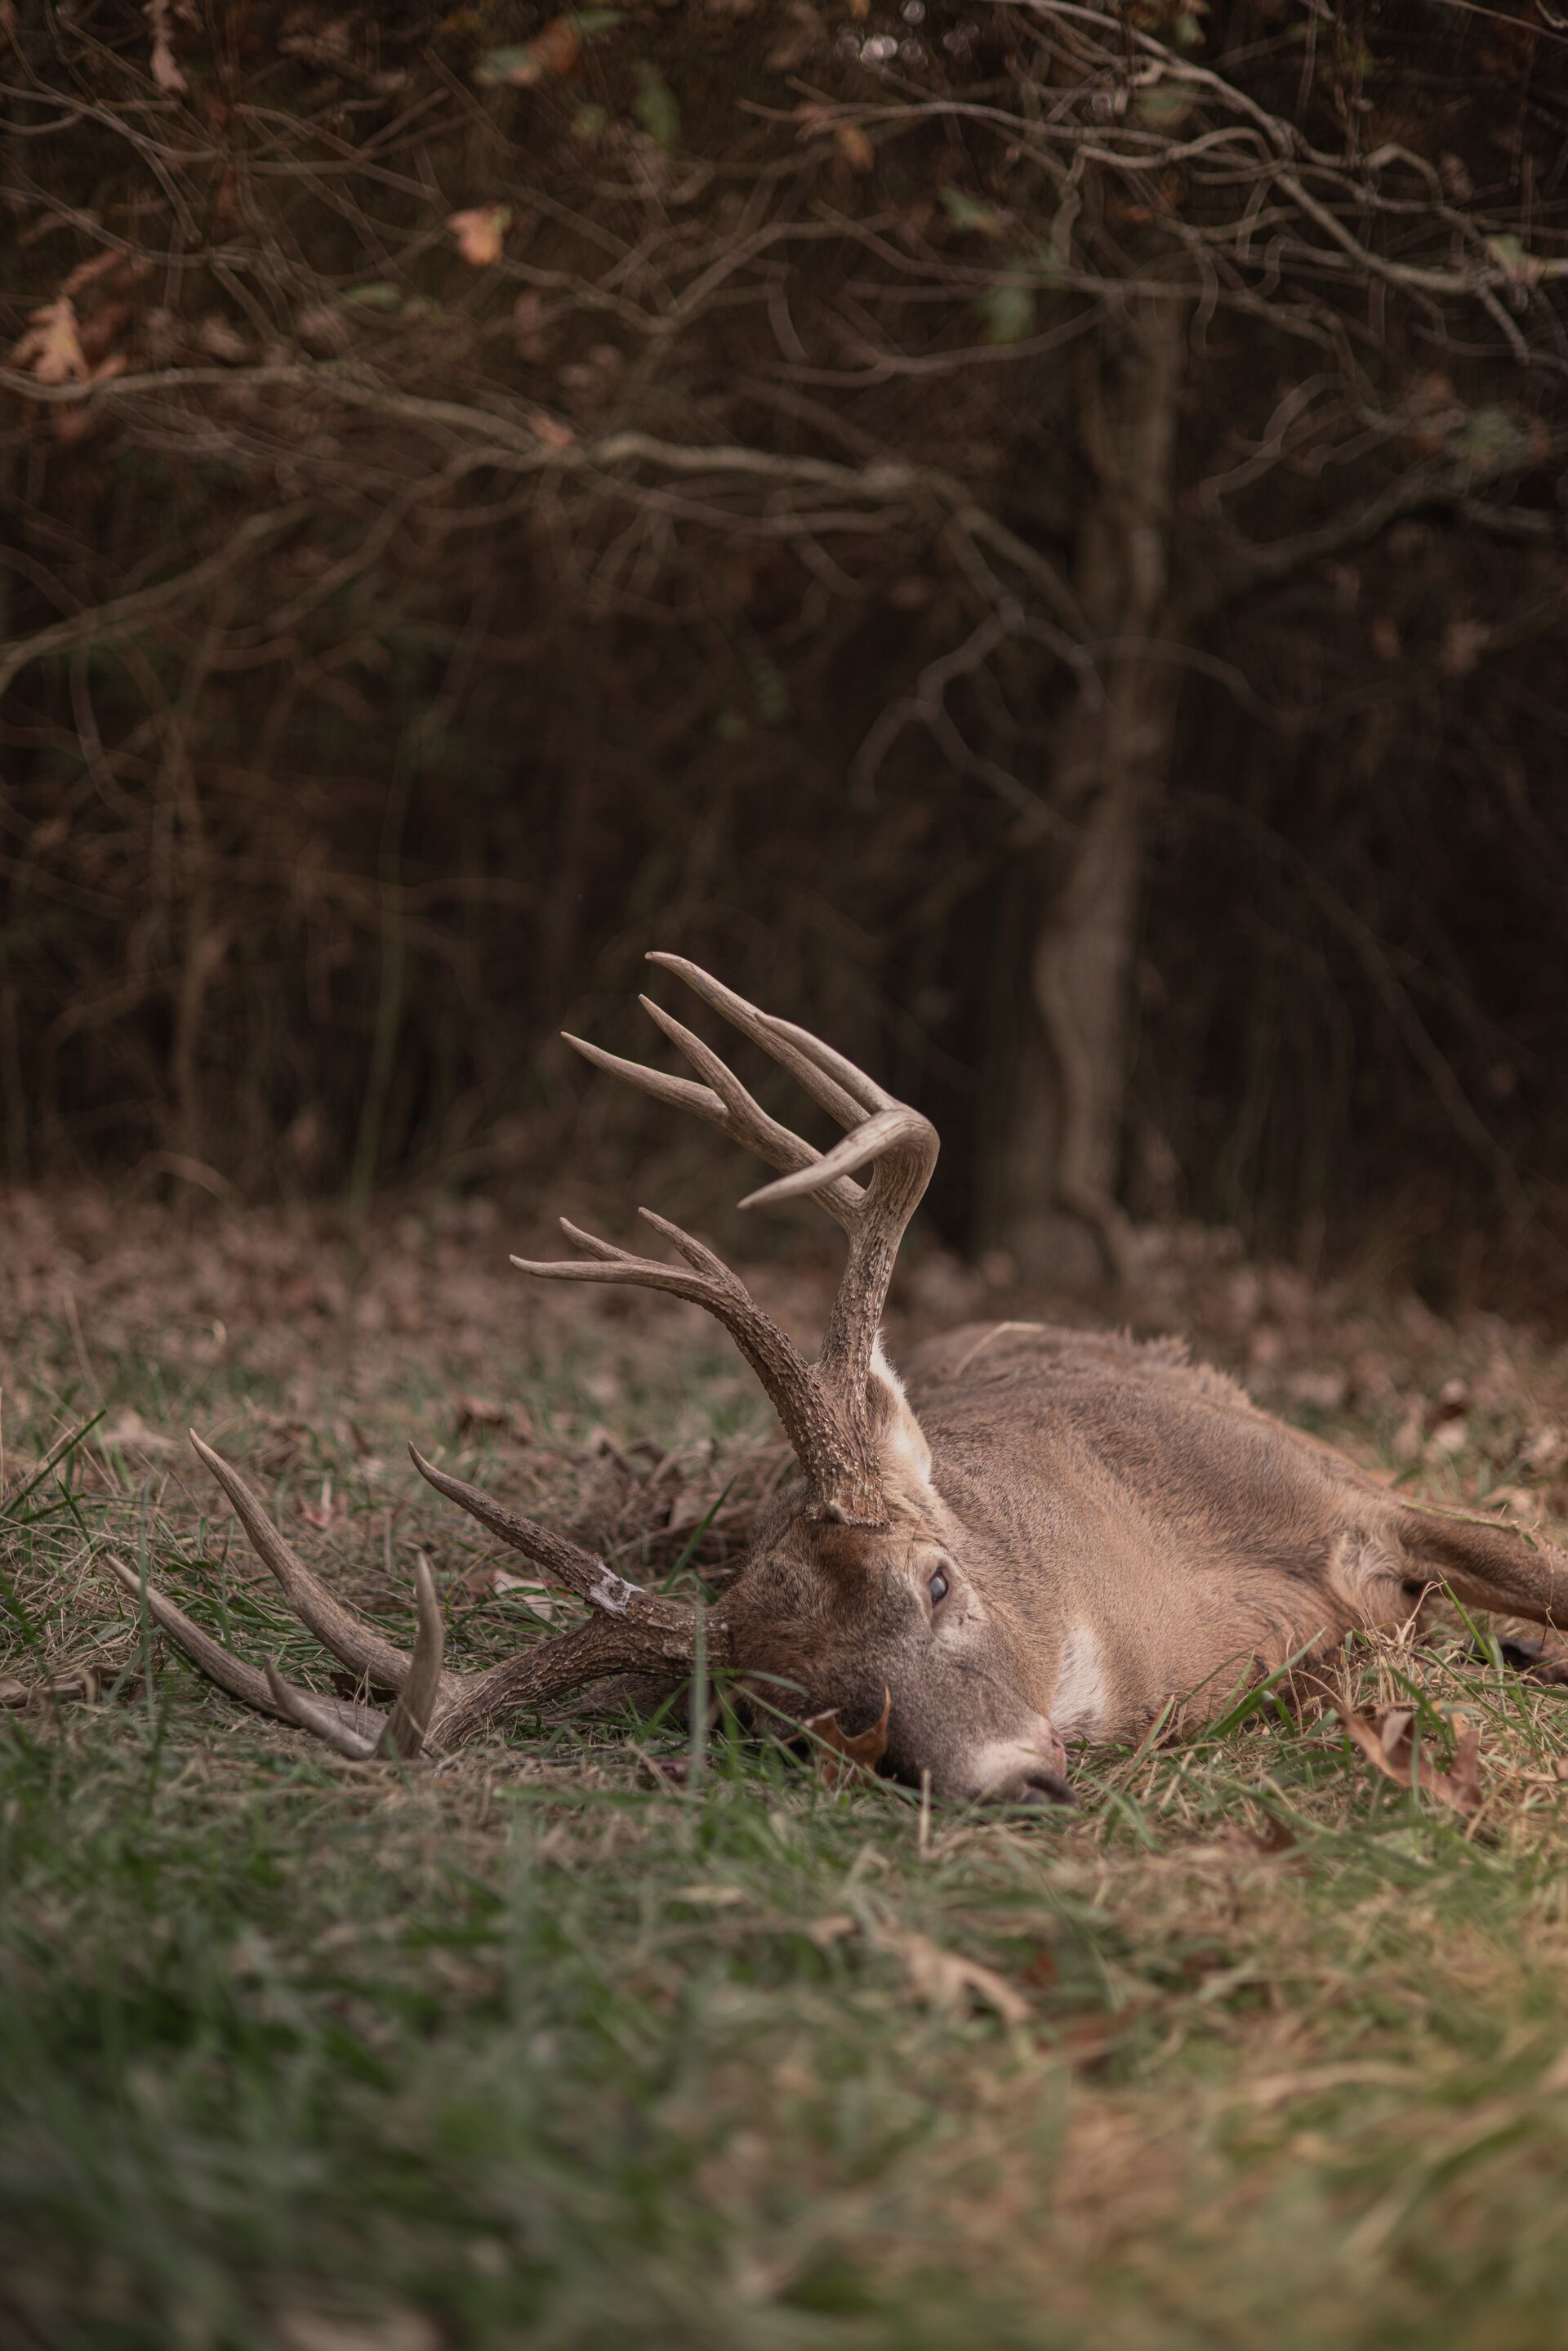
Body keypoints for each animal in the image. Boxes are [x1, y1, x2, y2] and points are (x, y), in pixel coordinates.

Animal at [105, 953, 1568, 1805]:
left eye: (939, 1579)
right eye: (814, 1709)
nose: (1008, 1782)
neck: (1169, 1597)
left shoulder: (1338, 1483)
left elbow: (1522, 1550)